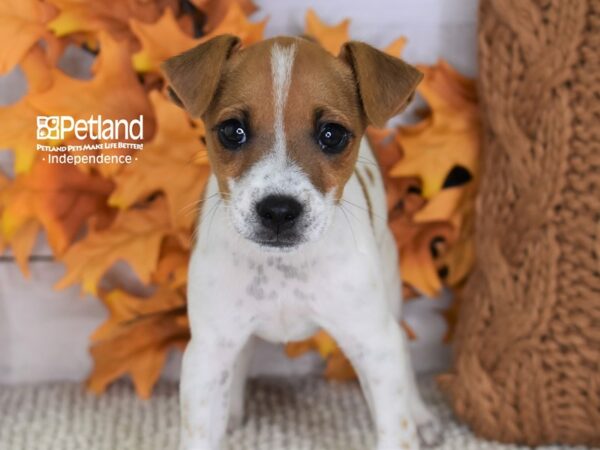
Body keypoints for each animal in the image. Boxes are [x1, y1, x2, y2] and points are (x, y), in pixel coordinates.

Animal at [162, 33, 442, 448]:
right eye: (232, 131)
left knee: (404, 357)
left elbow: (396, 427)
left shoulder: (375, 345)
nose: (278, 210)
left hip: (389, 299)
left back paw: (423, 415)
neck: (284, 267)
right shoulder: (207, 354)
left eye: (332, 135)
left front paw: (411, 421)